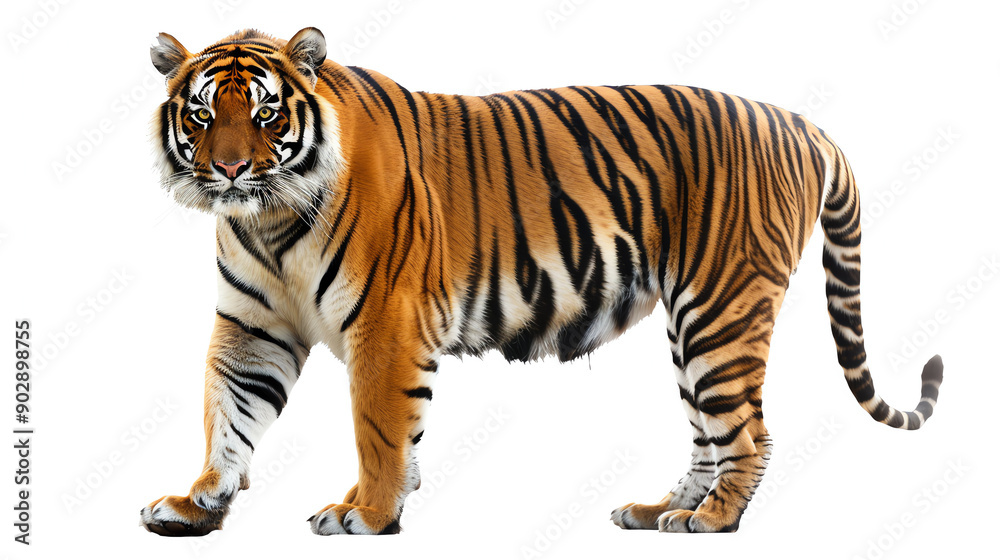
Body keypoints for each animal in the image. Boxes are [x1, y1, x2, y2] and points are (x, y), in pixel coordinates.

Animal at [140, 27, 944, 536]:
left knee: (749, 434)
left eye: (266, 112)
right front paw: (197, 502)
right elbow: (229, 414)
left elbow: (378, 430)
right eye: (203, 113)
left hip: (723, 310)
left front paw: (366, 514)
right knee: (707, 436)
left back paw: (713, 521)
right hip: (693, 327)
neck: (268, 220)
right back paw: (660, 513)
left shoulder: (387, 323)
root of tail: (803, 123)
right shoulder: (254, 329)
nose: (230, 169)